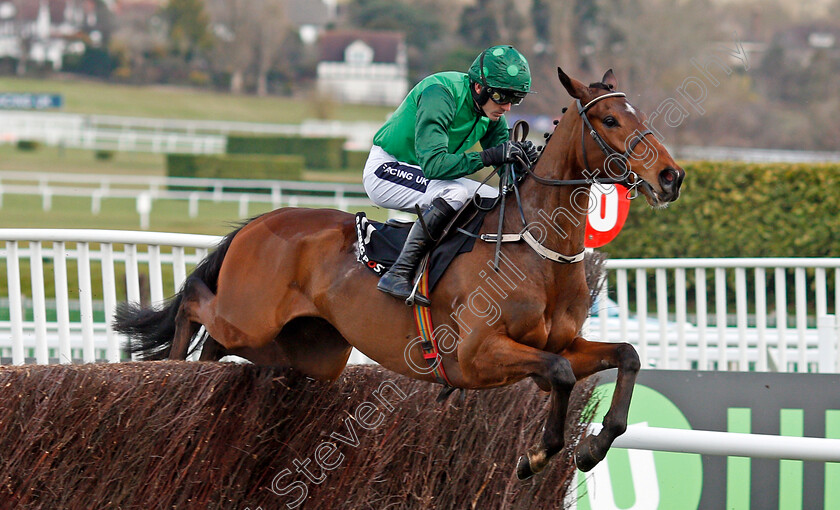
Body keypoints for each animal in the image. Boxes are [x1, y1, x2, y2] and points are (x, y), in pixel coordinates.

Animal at [115, 67, 684, 478]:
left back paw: (198, 379)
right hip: (248, 315)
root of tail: (261, 222)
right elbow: (561, 374)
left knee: (218, 345)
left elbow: (626, 356)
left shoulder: (560, 343)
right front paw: (539, 454)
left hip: (307, 350)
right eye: (609, 120)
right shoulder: (476, 356)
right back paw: (169, 369)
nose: (671, 176)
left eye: (637, 113)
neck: (534, 248)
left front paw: (592, 447)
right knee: (194, 299)